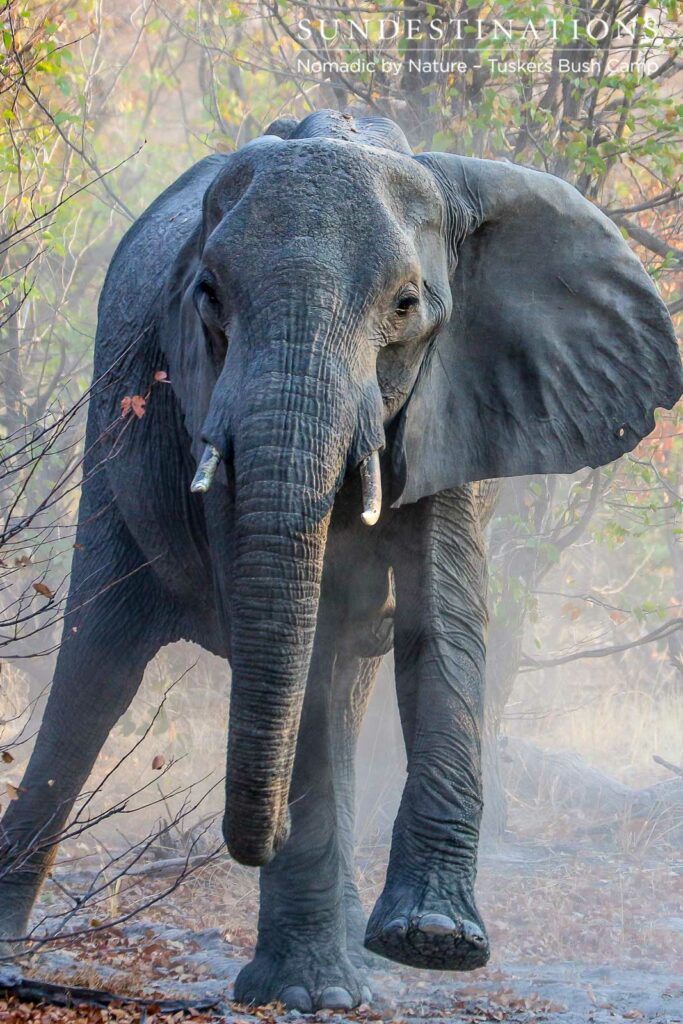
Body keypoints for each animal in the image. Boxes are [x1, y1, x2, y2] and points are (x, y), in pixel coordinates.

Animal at [0, 108, 680, 1011]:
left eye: (405, 305)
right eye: (208, 297)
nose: (257, 829)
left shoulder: (453, 396)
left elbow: (443, 622)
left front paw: (430, 943)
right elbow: (308, 649)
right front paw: (311, 994)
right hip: (112, 440)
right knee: (96, 672)